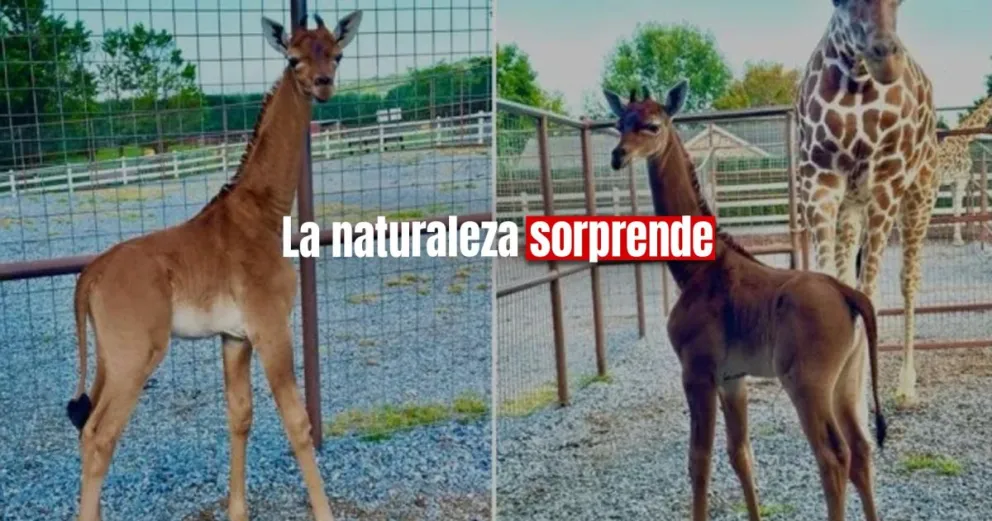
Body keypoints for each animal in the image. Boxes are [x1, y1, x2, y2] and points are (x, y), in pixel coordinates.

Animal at [64, 11, 363, 521]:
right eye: (294, 58)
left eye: (337, 54)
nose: (323, 84)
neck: (264, 212)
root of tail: (89, 277)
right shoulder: (270, 325)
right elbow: (298, 422)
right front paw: (323, 512)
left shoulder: (234, 337)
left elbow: (240, 415)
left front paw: (237, 509)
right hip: (135, 356)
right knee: (100, 436)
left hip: (108, 356)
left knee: (86, 430)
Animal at [795, 0, 938, 409]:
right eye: (837, 1)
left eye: (902, 2)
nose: (884, 57)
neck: (856, 84)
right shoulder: (819, 181)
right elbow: (834, 285)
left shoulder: (885, 183)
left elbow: (870, 293)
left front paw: (857, 403)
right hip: (852, 206)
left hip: (919, 194)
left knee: (909, 280)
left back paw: (906, 386)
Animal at [938, 95, 992, 246]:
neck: (965, 137)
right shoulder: (962, 178)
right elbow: (957, 208)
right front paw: (958, 240)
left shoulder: (953, 181)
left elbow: (955, 208)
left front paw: (956, 238)